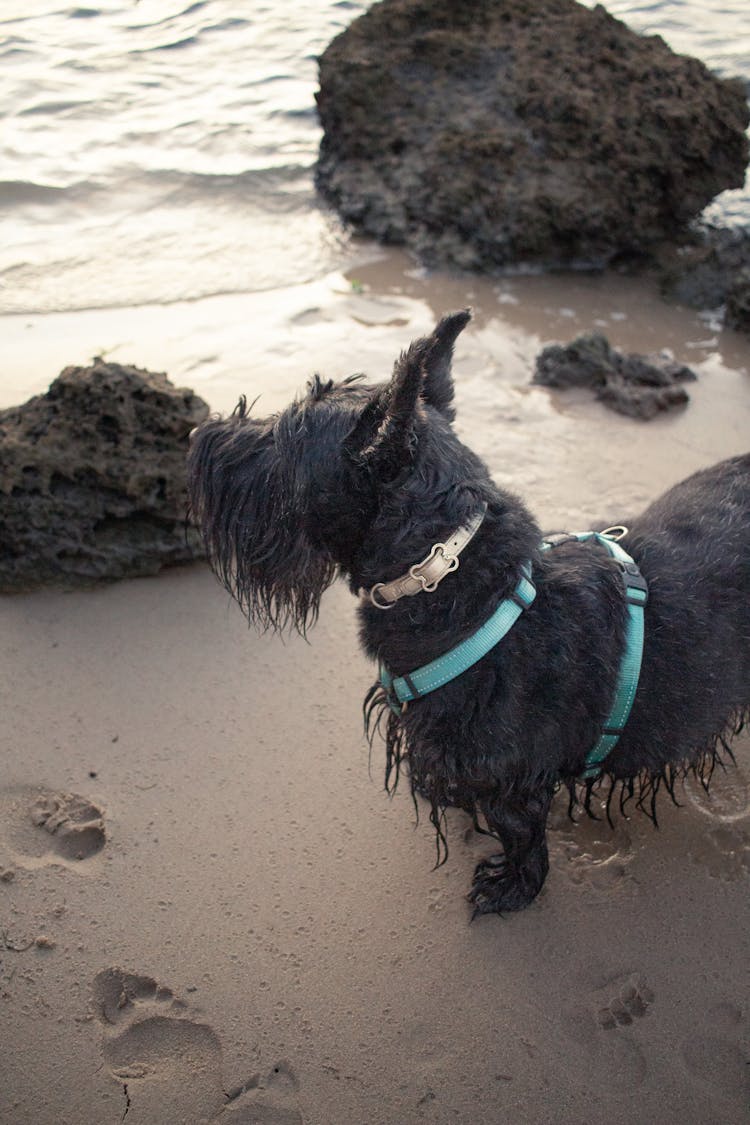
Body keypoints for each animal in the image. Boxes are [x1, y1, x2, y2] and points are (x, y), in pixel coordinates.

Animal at [187, 310, 750, 913]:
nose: (198, 436)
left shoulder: (507, 779)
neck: (451, 575)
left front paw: (511, 888)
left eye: (284, 438)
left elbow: (521, 834)